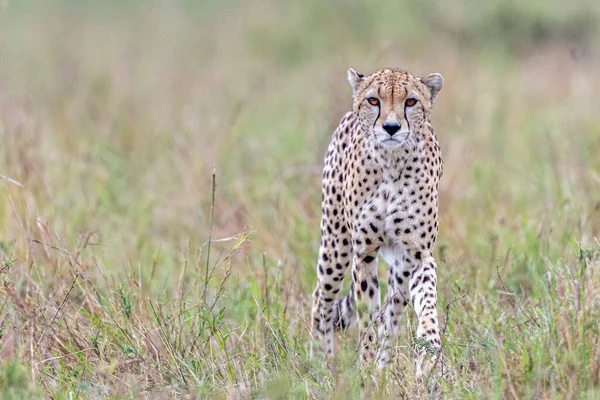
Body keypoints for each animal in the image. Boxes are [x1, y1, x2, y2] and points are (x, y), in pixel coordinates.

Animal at [312, 67, 442, 376]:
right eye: (374, 101)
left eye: (410, 101)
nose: (391, 127)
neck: (391, 165)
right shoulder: (364, 253)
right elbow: (366, 315)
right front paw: (365, 365)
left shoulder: (417, 255)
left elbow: (426, 304)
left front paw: (428, 351)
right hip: (335, 246)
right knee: (320, 300)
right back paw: (321, 362)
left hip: (399, 268)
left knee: (392, 313)